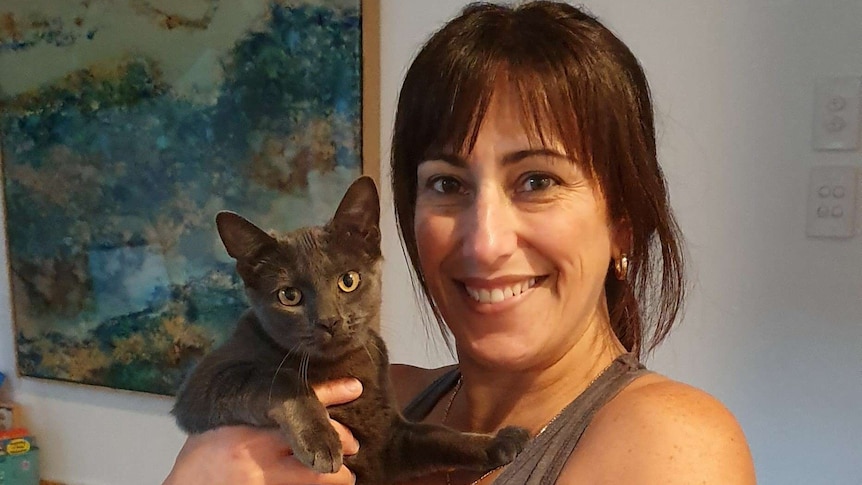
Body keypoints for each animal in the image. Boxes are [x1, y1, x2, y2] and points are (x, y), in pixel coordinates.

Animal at [171, 177, 528, 484]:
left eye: (348, 280)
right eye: (289, 296)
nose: (329, 320)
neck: (339, 366)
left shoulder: (388, 441)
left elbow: (441, 436)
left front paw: (499, 441)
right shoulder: (200, 388)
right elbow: (277, 377)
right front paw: (321, 441)